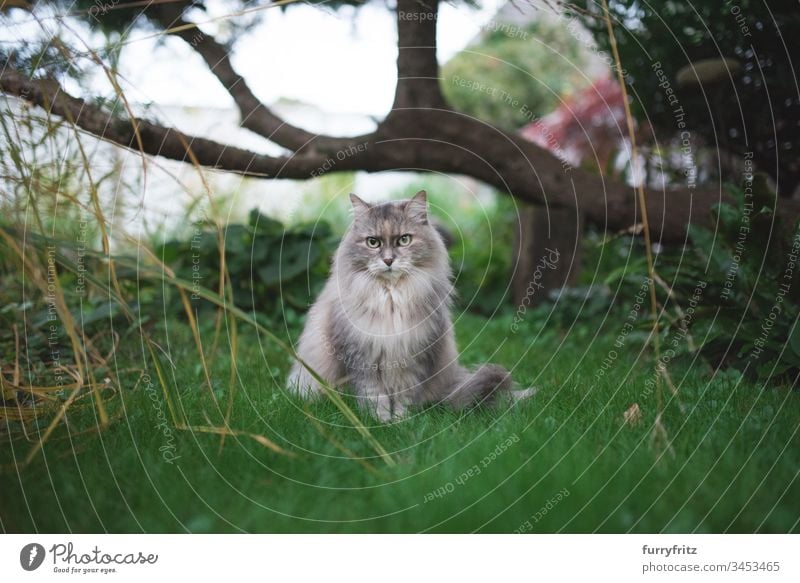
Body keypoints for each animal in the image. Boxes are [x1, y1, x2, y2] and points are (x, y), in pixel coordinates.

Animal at [288, 192, 532, 424]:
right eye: (373, 243)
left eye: (404, 240)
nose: (388, 260)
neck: (391, 299)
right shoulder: (362, 358)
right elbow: (374, 396)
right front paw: (378, 422)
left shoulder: (413, 357)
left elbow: (404, 395)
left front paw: (400, 422)